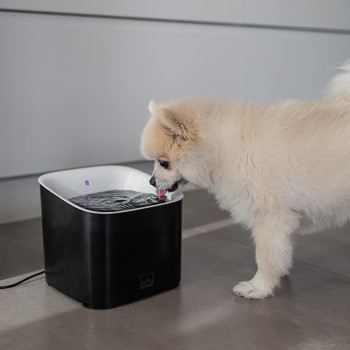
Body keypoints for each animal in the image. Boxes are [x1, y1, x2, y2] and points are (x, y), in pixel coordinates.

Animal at [140, 62, 350, 298]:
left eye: (163, 163)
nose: (151, 182)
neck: (226, 149)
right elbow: (282, 252)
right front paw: (281, 272)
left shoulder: (271, 217)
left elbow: (266, 257)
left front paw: (258, 287)